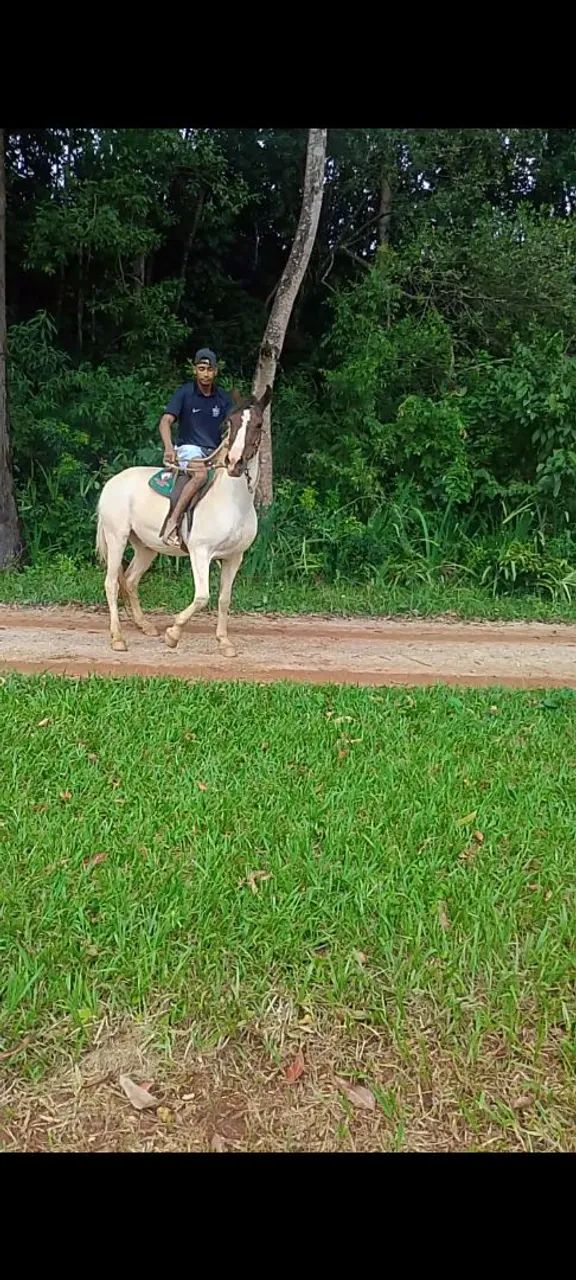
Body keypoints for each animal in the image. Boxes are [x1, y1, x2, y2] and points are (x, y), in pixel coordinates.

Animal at [95, 387, 272, 656]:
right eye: (231, 422)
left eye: (259, 424)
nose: (233, 463)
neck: (233, 501)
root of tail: (111, 483)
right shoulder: (200, 552)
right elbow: (202, 597)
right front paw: (173, 634)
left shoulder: (234, 557)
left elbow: (224, 599)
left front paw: (224, 642)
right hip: (116, 538)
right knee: (112, 583)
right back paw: (117, 638)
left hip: (146, 547)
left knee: (131, 581)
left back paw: (145, 626)